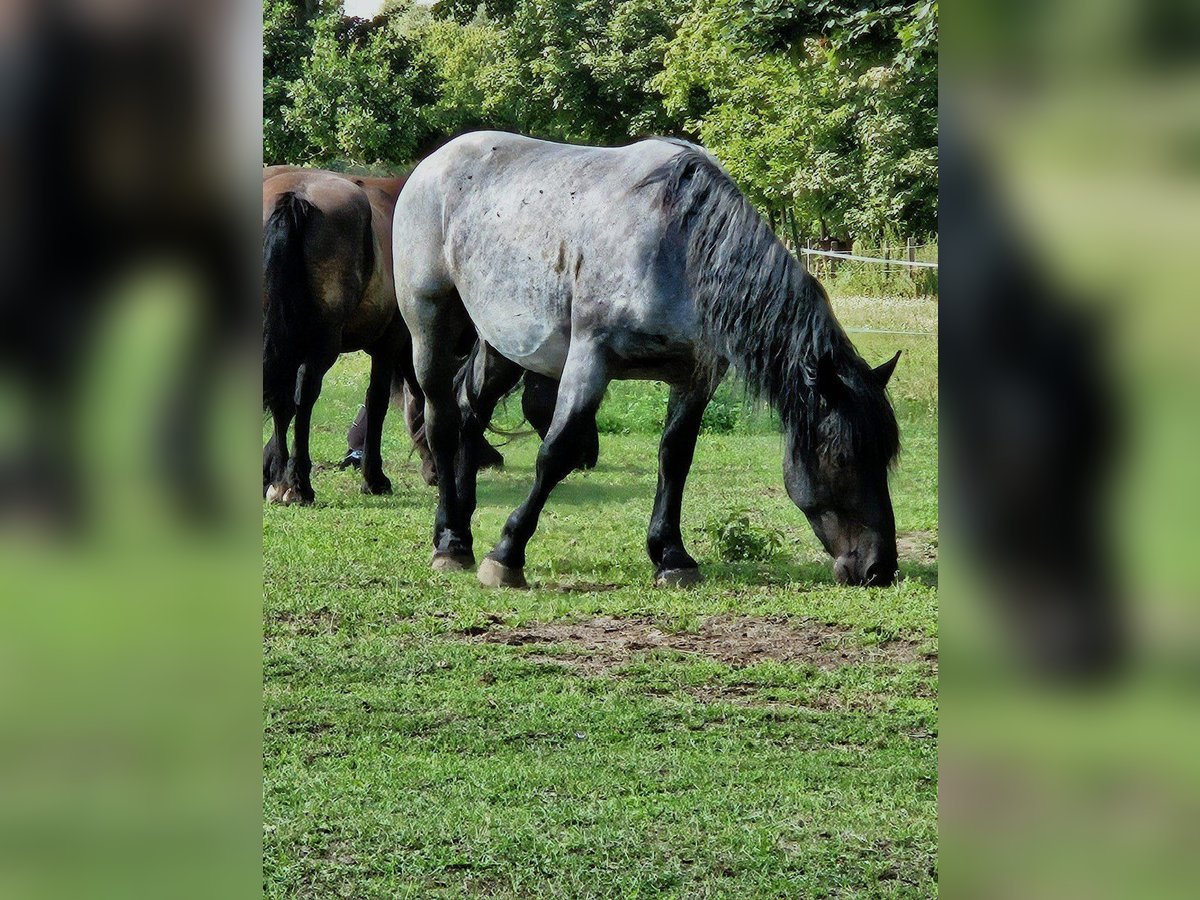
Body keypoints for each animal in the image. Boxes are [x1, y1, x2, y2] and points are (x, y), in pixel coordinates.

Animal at [393, 130, 902, 588]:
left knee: (469, 413)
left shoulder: (696, 376)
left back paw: (459, 533)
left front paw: (672, 556)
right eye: (842, 458)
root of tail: (432, 163)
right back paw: (449, 545)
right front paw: (507, 554)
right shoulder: (591, 357)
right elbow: (556, 453)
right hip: (429, 327)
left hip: (504, 343)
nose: (879, 568)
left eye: (885, 456)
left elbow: (675, 457)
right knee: (441, 421)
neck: (678, 245)